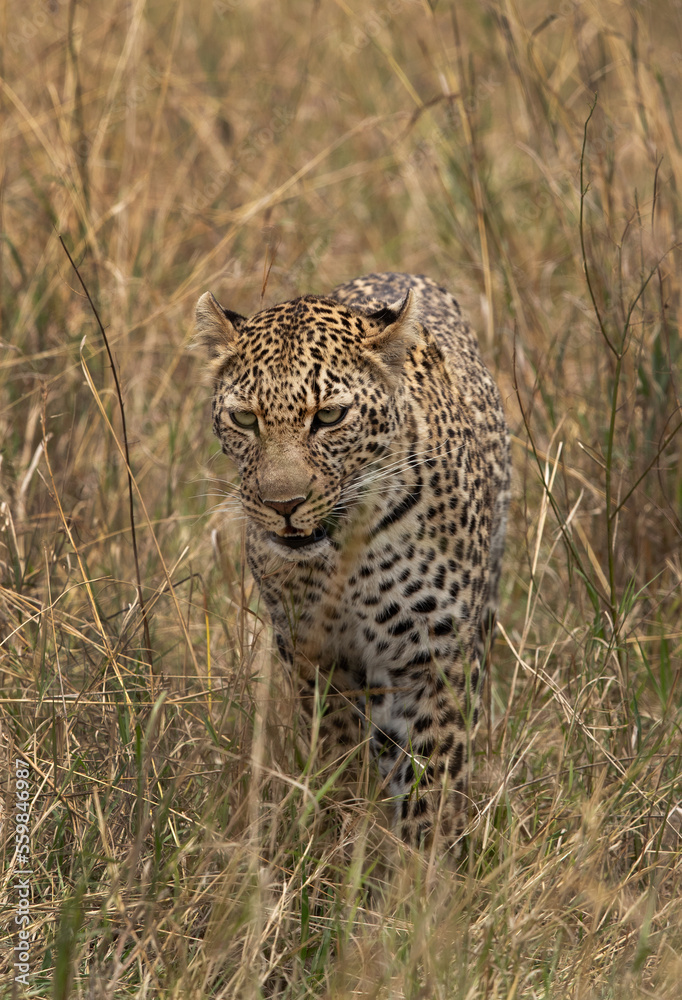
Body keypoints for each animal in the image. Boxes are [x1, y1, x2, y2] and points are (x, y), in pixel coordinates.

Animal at [195, 272, 510, 851]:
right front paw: (338, 837)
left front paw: (426, 868)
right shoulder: (313, 654)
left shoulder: (436, 659)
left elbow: (433, 784)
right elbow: (337, 757)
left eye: (330, 416)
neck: (344, 553)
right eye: (245, 419)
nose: (283, 505)